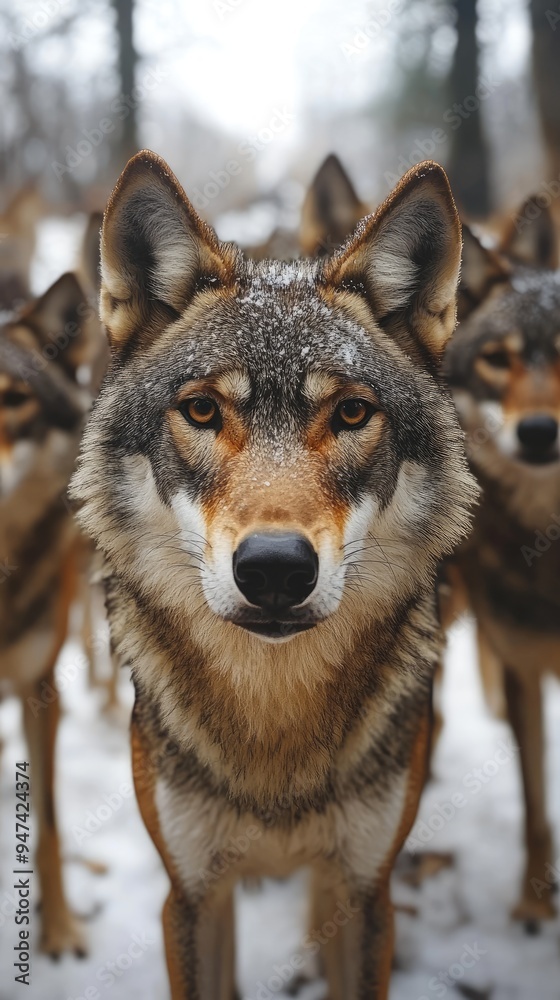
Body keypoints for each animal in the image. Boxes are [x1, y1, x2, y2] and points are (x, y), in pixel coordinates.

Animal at [71, 149, 476, 998]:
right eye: (201, 411)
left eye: (352, 414)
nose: (277, 570)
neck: (274, 718)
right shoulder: (190, 895)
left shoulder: (366, 890)